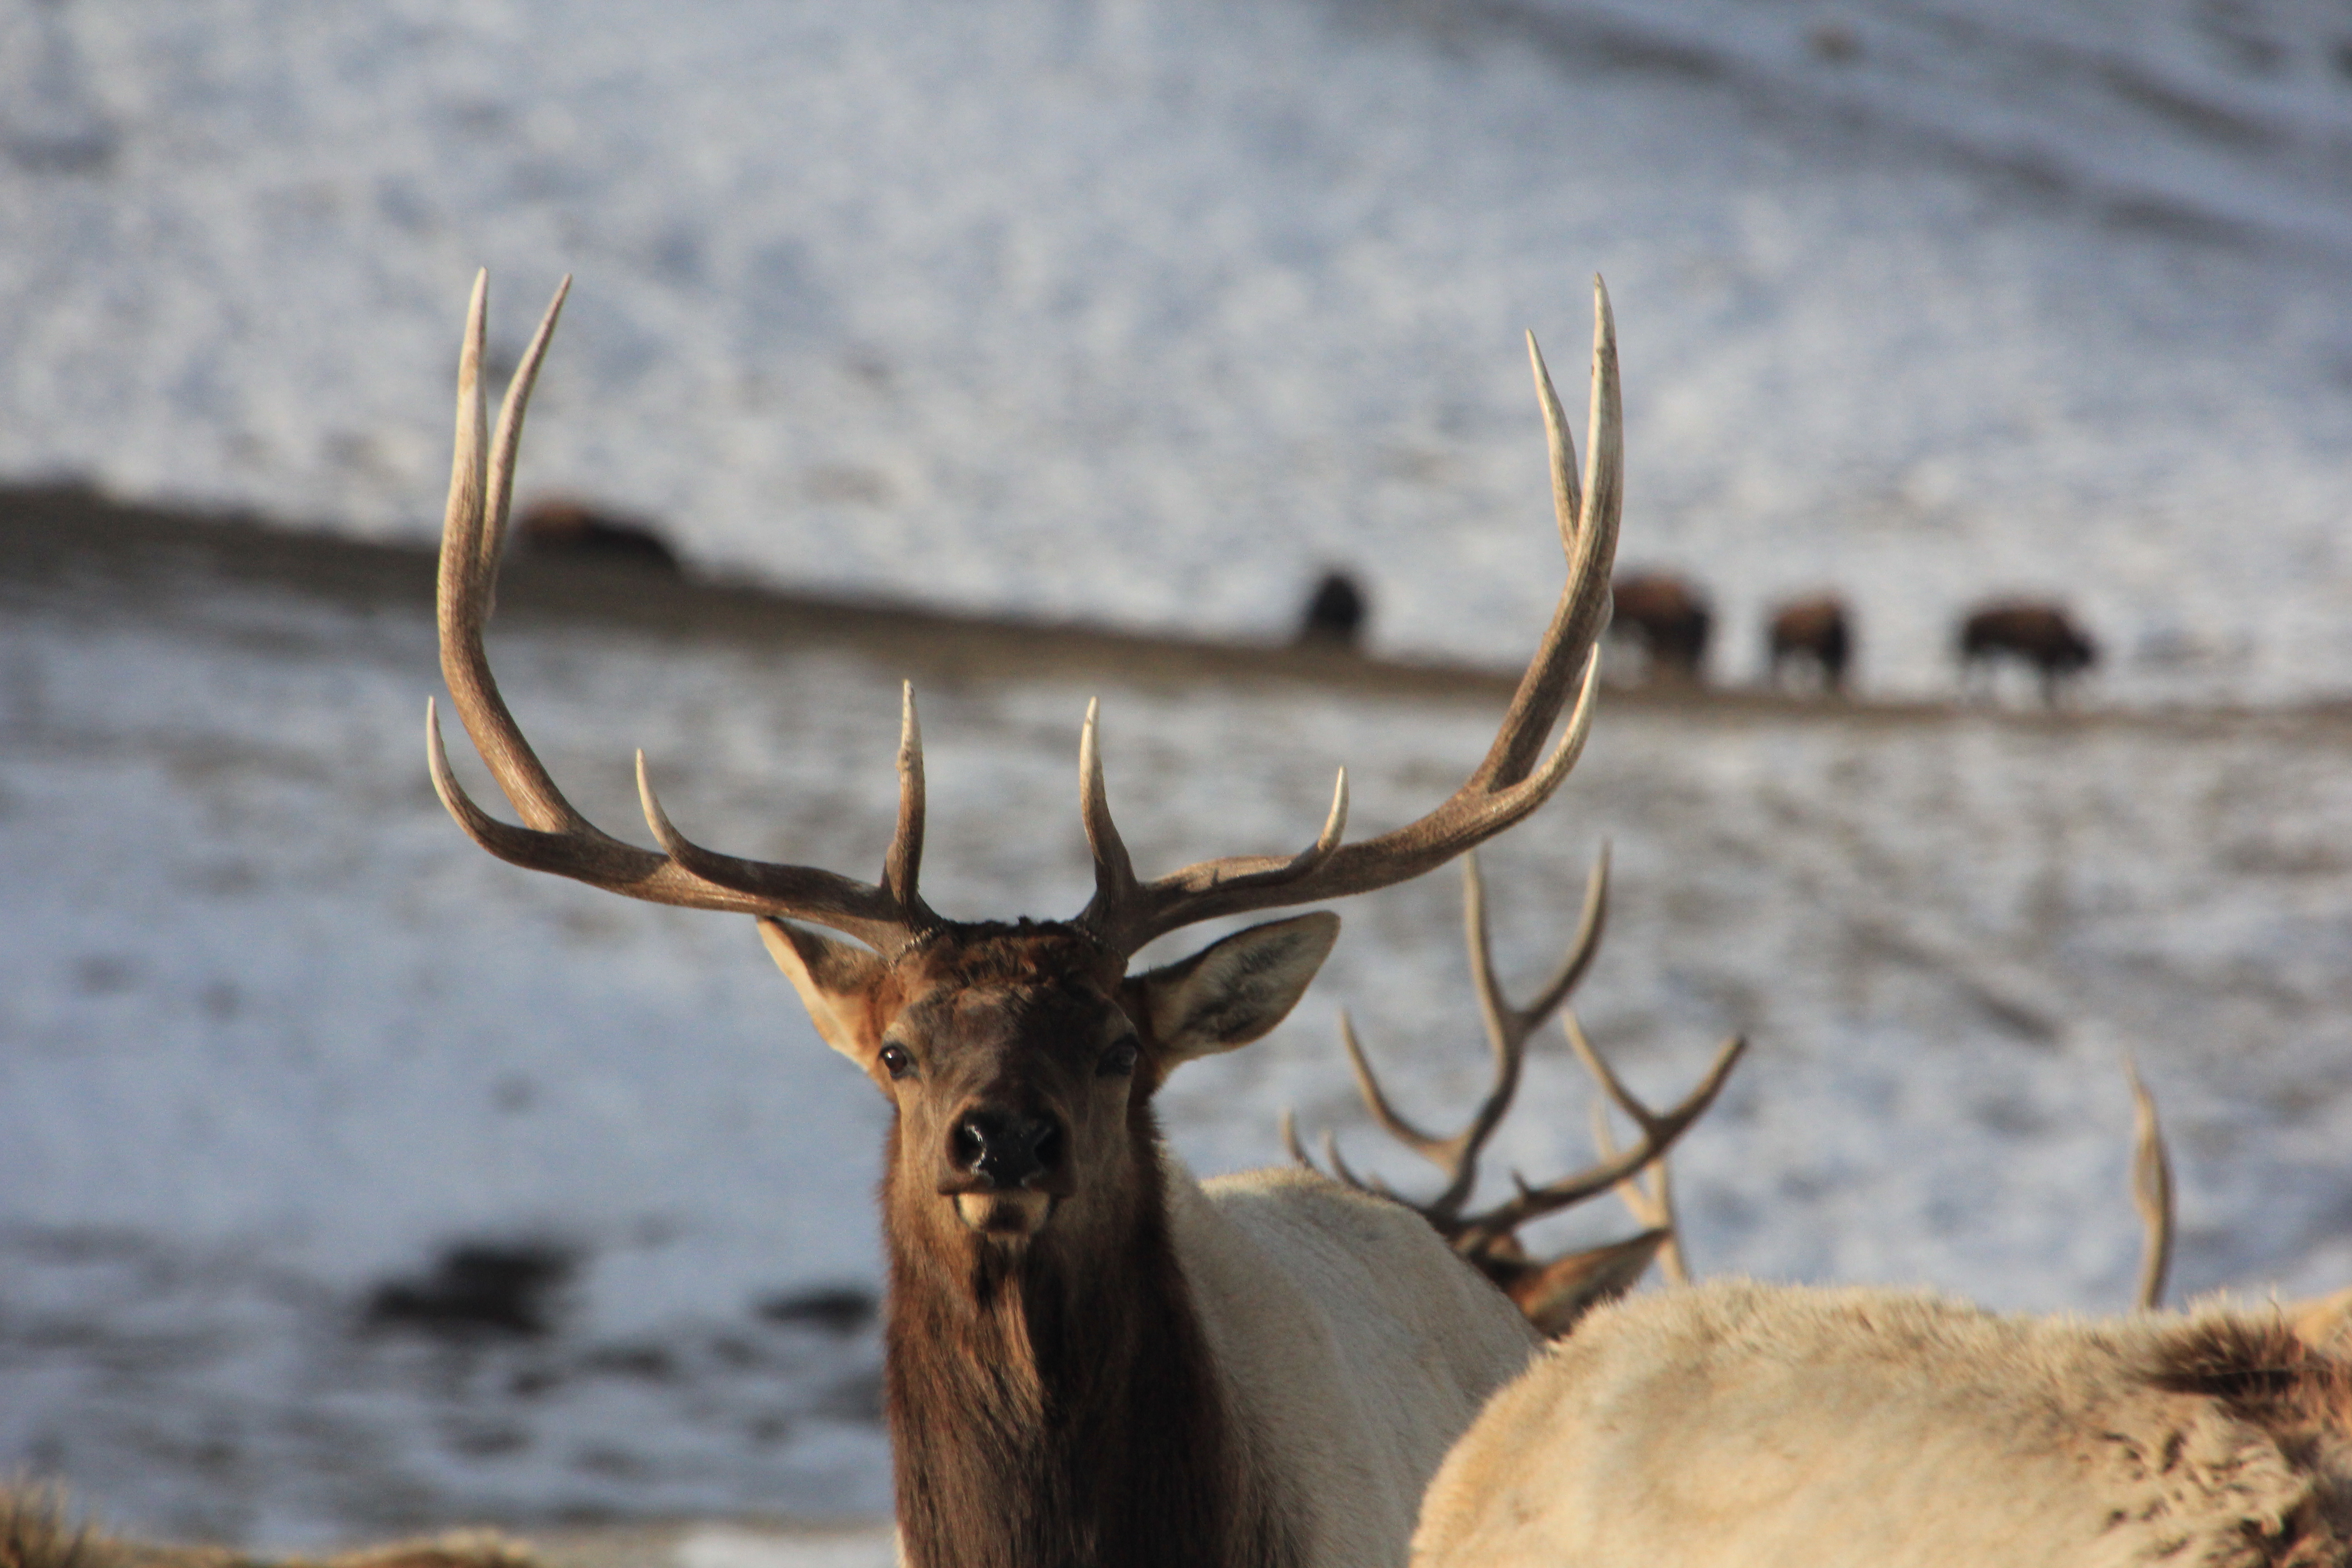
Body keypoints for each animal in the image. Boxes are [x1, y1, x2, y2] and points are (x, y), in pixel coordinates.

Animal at [1957, 602, 2107, 705]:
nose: (2094, 668)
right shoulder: (2046, 660)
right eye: (2085, 652)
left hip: (1983, 652)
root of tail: (1969, 621)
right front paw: (2050, 698)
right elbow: (2048, 681)